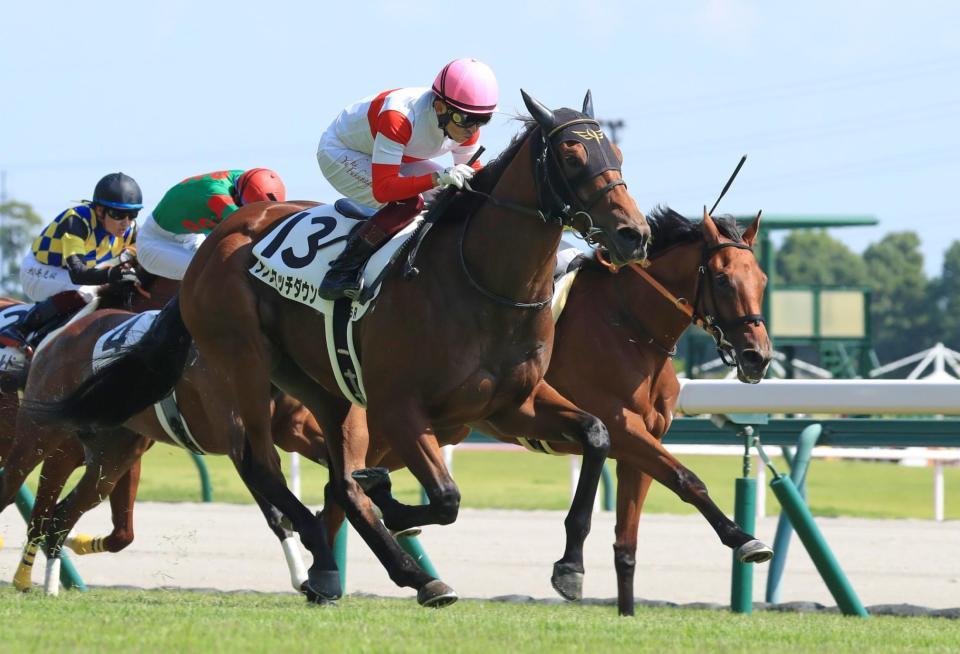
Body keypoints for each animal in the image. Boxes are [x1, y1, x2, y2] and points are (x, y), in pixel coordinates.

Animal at [27, 91, 651, 607]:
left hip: (322, 386)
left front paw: (570, 566)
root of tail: (220, 241)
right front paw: (393, 503)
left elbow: (596, 435)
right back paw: (368, 566)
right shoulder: (400, 408)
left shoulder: (508, 404)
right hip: (244, 360)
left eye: (617, 150)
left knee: (335, 479)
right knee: (264, 463)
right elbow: (444, 497)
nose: (633, 235)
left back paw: (373, 570)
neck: (480, 283)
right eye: (572, 154)